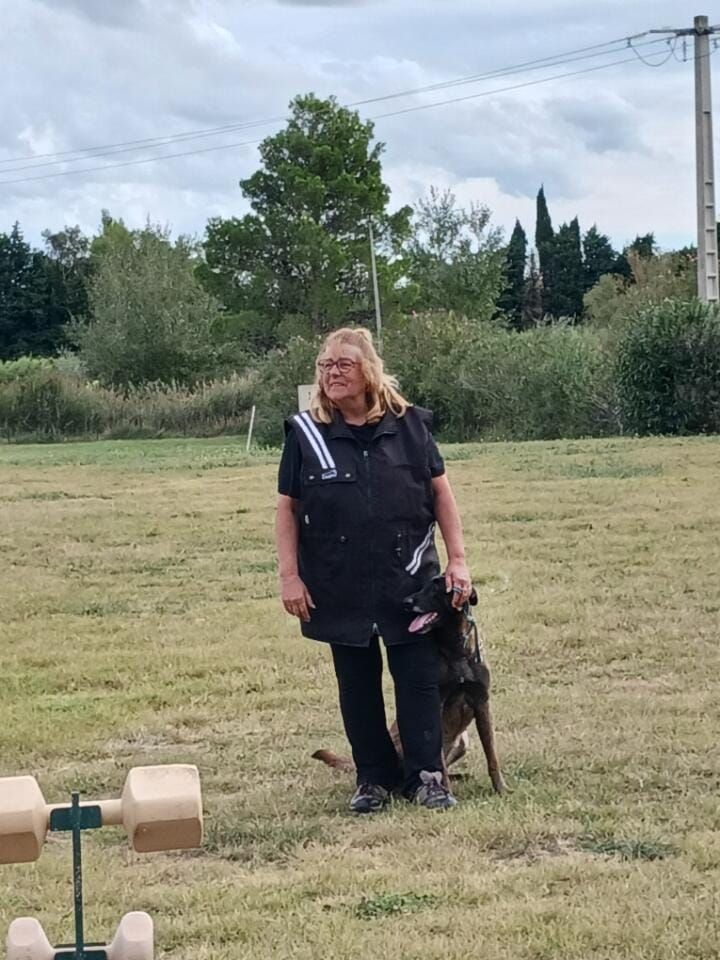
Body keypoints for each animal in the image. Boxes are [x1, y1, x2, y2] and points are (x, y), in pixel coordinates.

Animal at [314, 576, 506, 796]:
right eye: (422, 587)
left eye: (436, 589)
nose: (405, 602)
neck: (455, 649)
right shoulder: (437, 706)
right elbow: (438, 760)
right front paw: (445, 792)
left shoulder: (482, 703)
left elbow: (492, 755)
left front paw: (501, 788)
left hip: (463, 742)